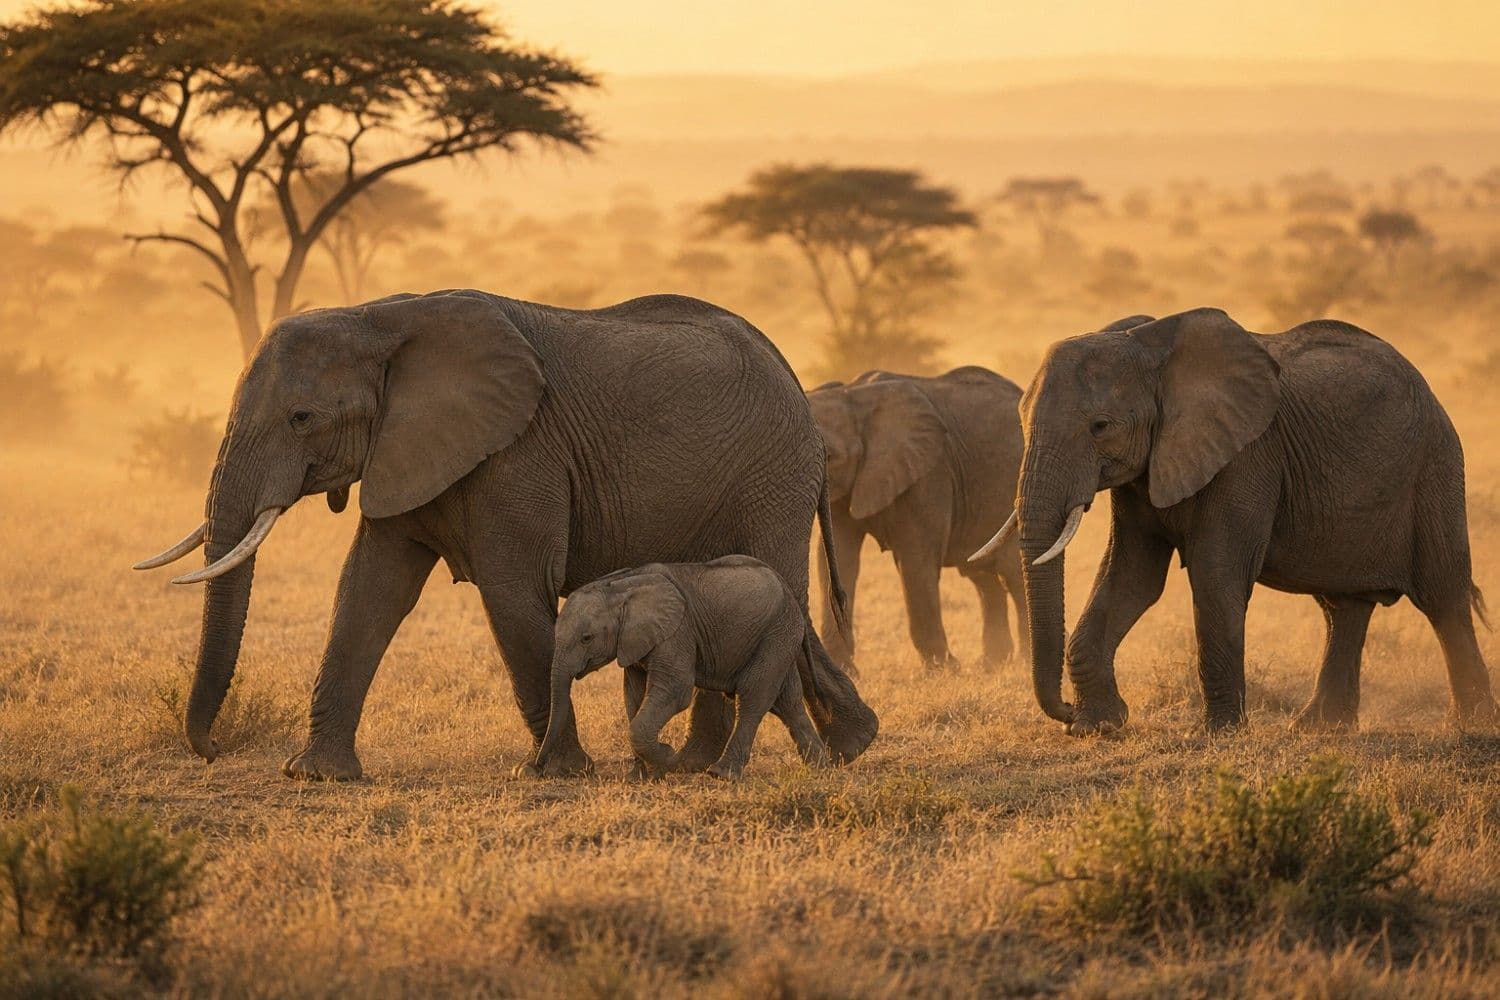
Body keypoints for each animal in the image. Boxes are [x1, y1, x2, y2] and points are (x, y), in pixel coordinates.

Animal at [540, 556, 830, 780]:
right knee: (787, 702)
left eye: (586, 638)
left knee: (753, 697)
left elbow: (676, 691)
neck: (620, 587)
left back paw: (722, 774)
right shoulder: (635, 642)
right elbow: (633, 696)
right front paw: (641, 777)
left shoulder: (677, 632)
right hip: (778, 637)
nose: (535, 769)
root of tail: (789, 592)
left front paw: (667, 757)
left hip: (776, 633)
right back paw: (819, 769)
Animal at [807, 367, 1028, 669]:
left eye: (829, 455)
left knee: (1011, 570)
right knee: (982, 575)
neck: (852, 395)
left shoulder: (930, 473)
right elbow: (837, 556)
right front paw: (845, 670)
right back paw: (992, 664)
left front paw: (945, 670)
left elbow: (917, 558)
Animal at [975, 307, 1498, 735]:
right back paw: (1319, 728)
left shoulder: (1247, 457)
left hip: (1435, 465)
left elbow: (1215, 574)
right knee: (1343, 606)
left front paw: (1216, 734)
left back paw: (1469, 726)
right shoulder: (1144, 473)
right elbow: (1132, 577)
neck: (1148, 344)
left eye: (1100, 427)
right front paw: (1098, 727)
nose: (1063, 710)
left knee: (1443, 595)